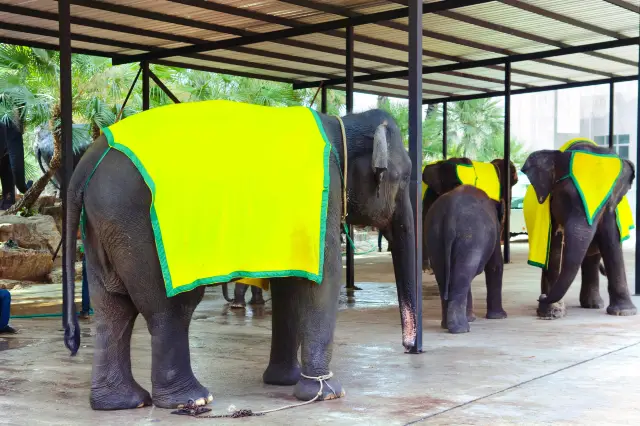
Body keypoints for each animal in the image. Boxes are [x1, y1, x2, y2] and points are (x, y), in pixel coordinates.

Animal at [62, 107, 419, 410]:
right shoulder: (322, 197)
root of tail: (90, 156)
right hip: (138, 226)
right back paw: (192, 400)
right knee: (170, 309)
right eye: (403, 178)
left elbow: (289, 284)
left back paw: (124, 402)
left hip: (103, 224)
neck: (343, 124)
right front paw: (326, 393)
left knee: (113, 308)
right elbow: (322, 279)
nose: (409, 347)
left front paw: (283, 381)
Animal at [426, 185, 508, 333]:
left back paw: (447, 325)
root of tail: (451, 211)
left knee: (447, 275)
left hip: (434, 235)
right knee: (463, 273)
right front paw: (500, 317)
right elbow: (495, 265)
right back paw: (461, 329)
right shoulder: (496, 229)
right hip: (471, 236)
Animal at [521, 142, 637, 319]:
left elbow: (612, 243)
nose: (542, 297)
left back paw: (593, 305)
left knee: (593, 259)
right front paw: (553, 312)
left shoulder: (611, 212)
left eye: (608, 202)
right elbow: (554, 250)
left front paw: (625, 312)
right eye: (565, 197)